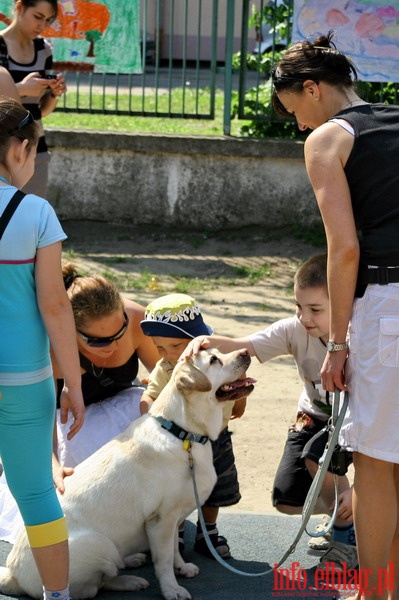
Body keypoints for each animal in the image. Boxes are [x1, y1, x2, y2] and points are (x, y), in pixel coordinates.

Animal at [0, 350, 255, 596]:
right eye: (213, 360)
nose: (245, 351)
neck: (181, 433)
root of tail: (13, 575)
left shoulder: (173, 519)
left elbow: (174, 549)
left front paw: (181, 568)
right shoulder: (160, 520)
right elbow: (163, 560)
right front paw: (171, 589)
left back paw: (131, 561)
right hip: (98, 544)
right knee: (94, 587)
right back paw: (130, 580)